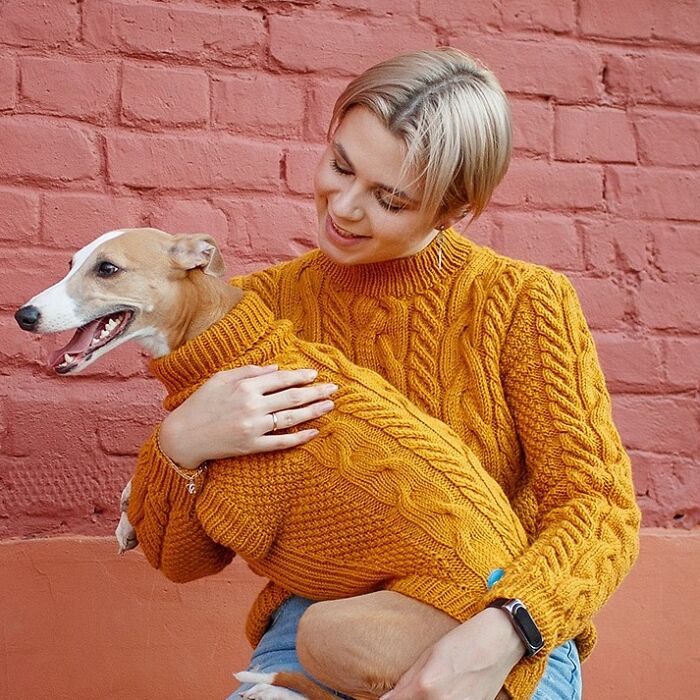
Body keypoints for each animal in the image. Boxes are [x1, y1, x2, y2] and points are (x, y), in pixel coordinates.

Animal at [15, 228, 523, 700]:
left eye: (108, 269)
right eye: (70, 263)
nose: (24, 315)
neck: (217, 333)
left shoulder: (237, 509)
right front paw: (126, 518)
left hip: (324, 626)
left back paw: (274, 687)